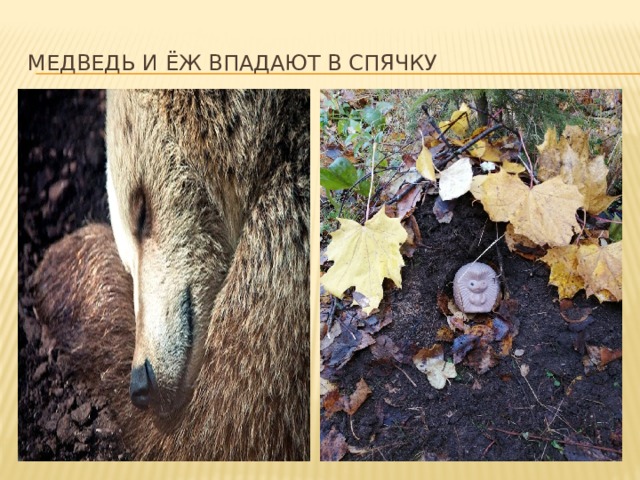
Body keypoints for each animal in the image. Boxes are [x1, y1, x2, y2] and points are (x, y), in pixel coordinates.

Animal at [31, 90, 310, 461]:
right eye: (128, 263)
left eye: (141, 211)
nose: (142, 383)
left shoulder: (285, 252)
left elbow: (217, 428)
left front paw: (62, 264)